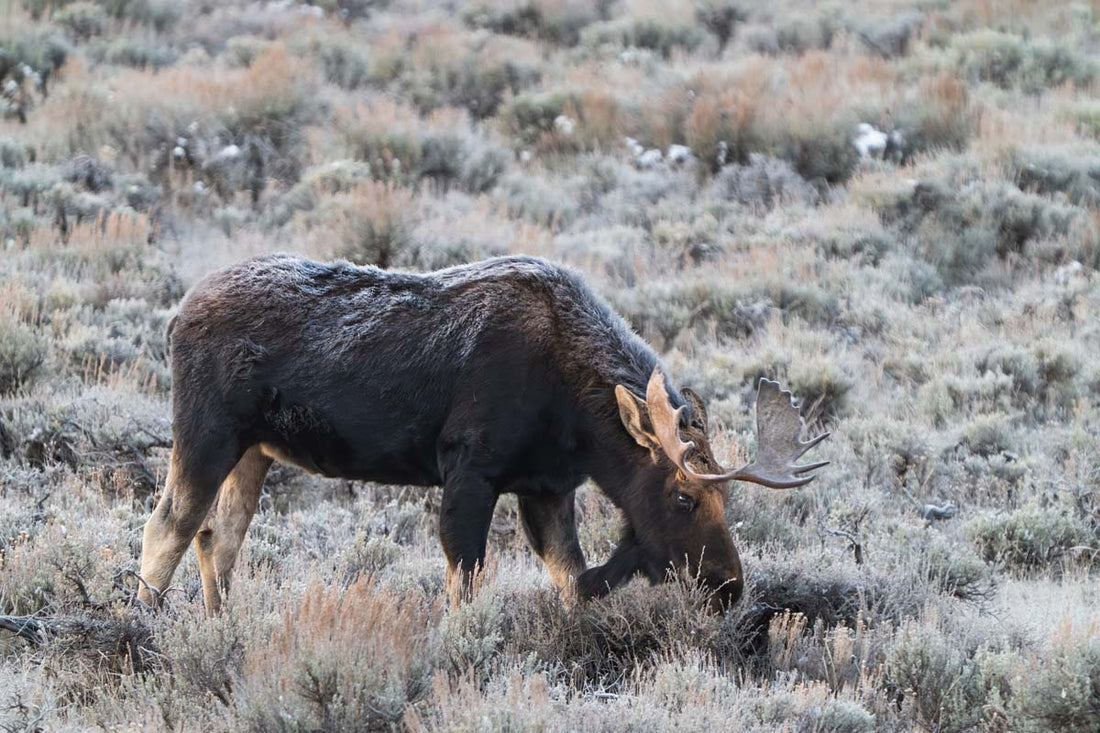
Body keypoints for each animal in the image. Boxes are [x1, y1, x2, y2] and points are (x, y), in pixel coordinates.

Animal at [136, 254, 829, 615]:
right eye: (684, 497)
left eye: (727, 498)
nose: (731, 586)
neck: (577, 420)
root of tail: (175, 317)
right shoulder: (471, 470)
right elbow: (463, 583)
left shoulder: (546, 487)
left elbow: (573, 580)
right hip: (207, 431)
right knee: (168, 524)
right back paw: (141, 626)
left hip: (254, 450)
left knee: (217, 538)